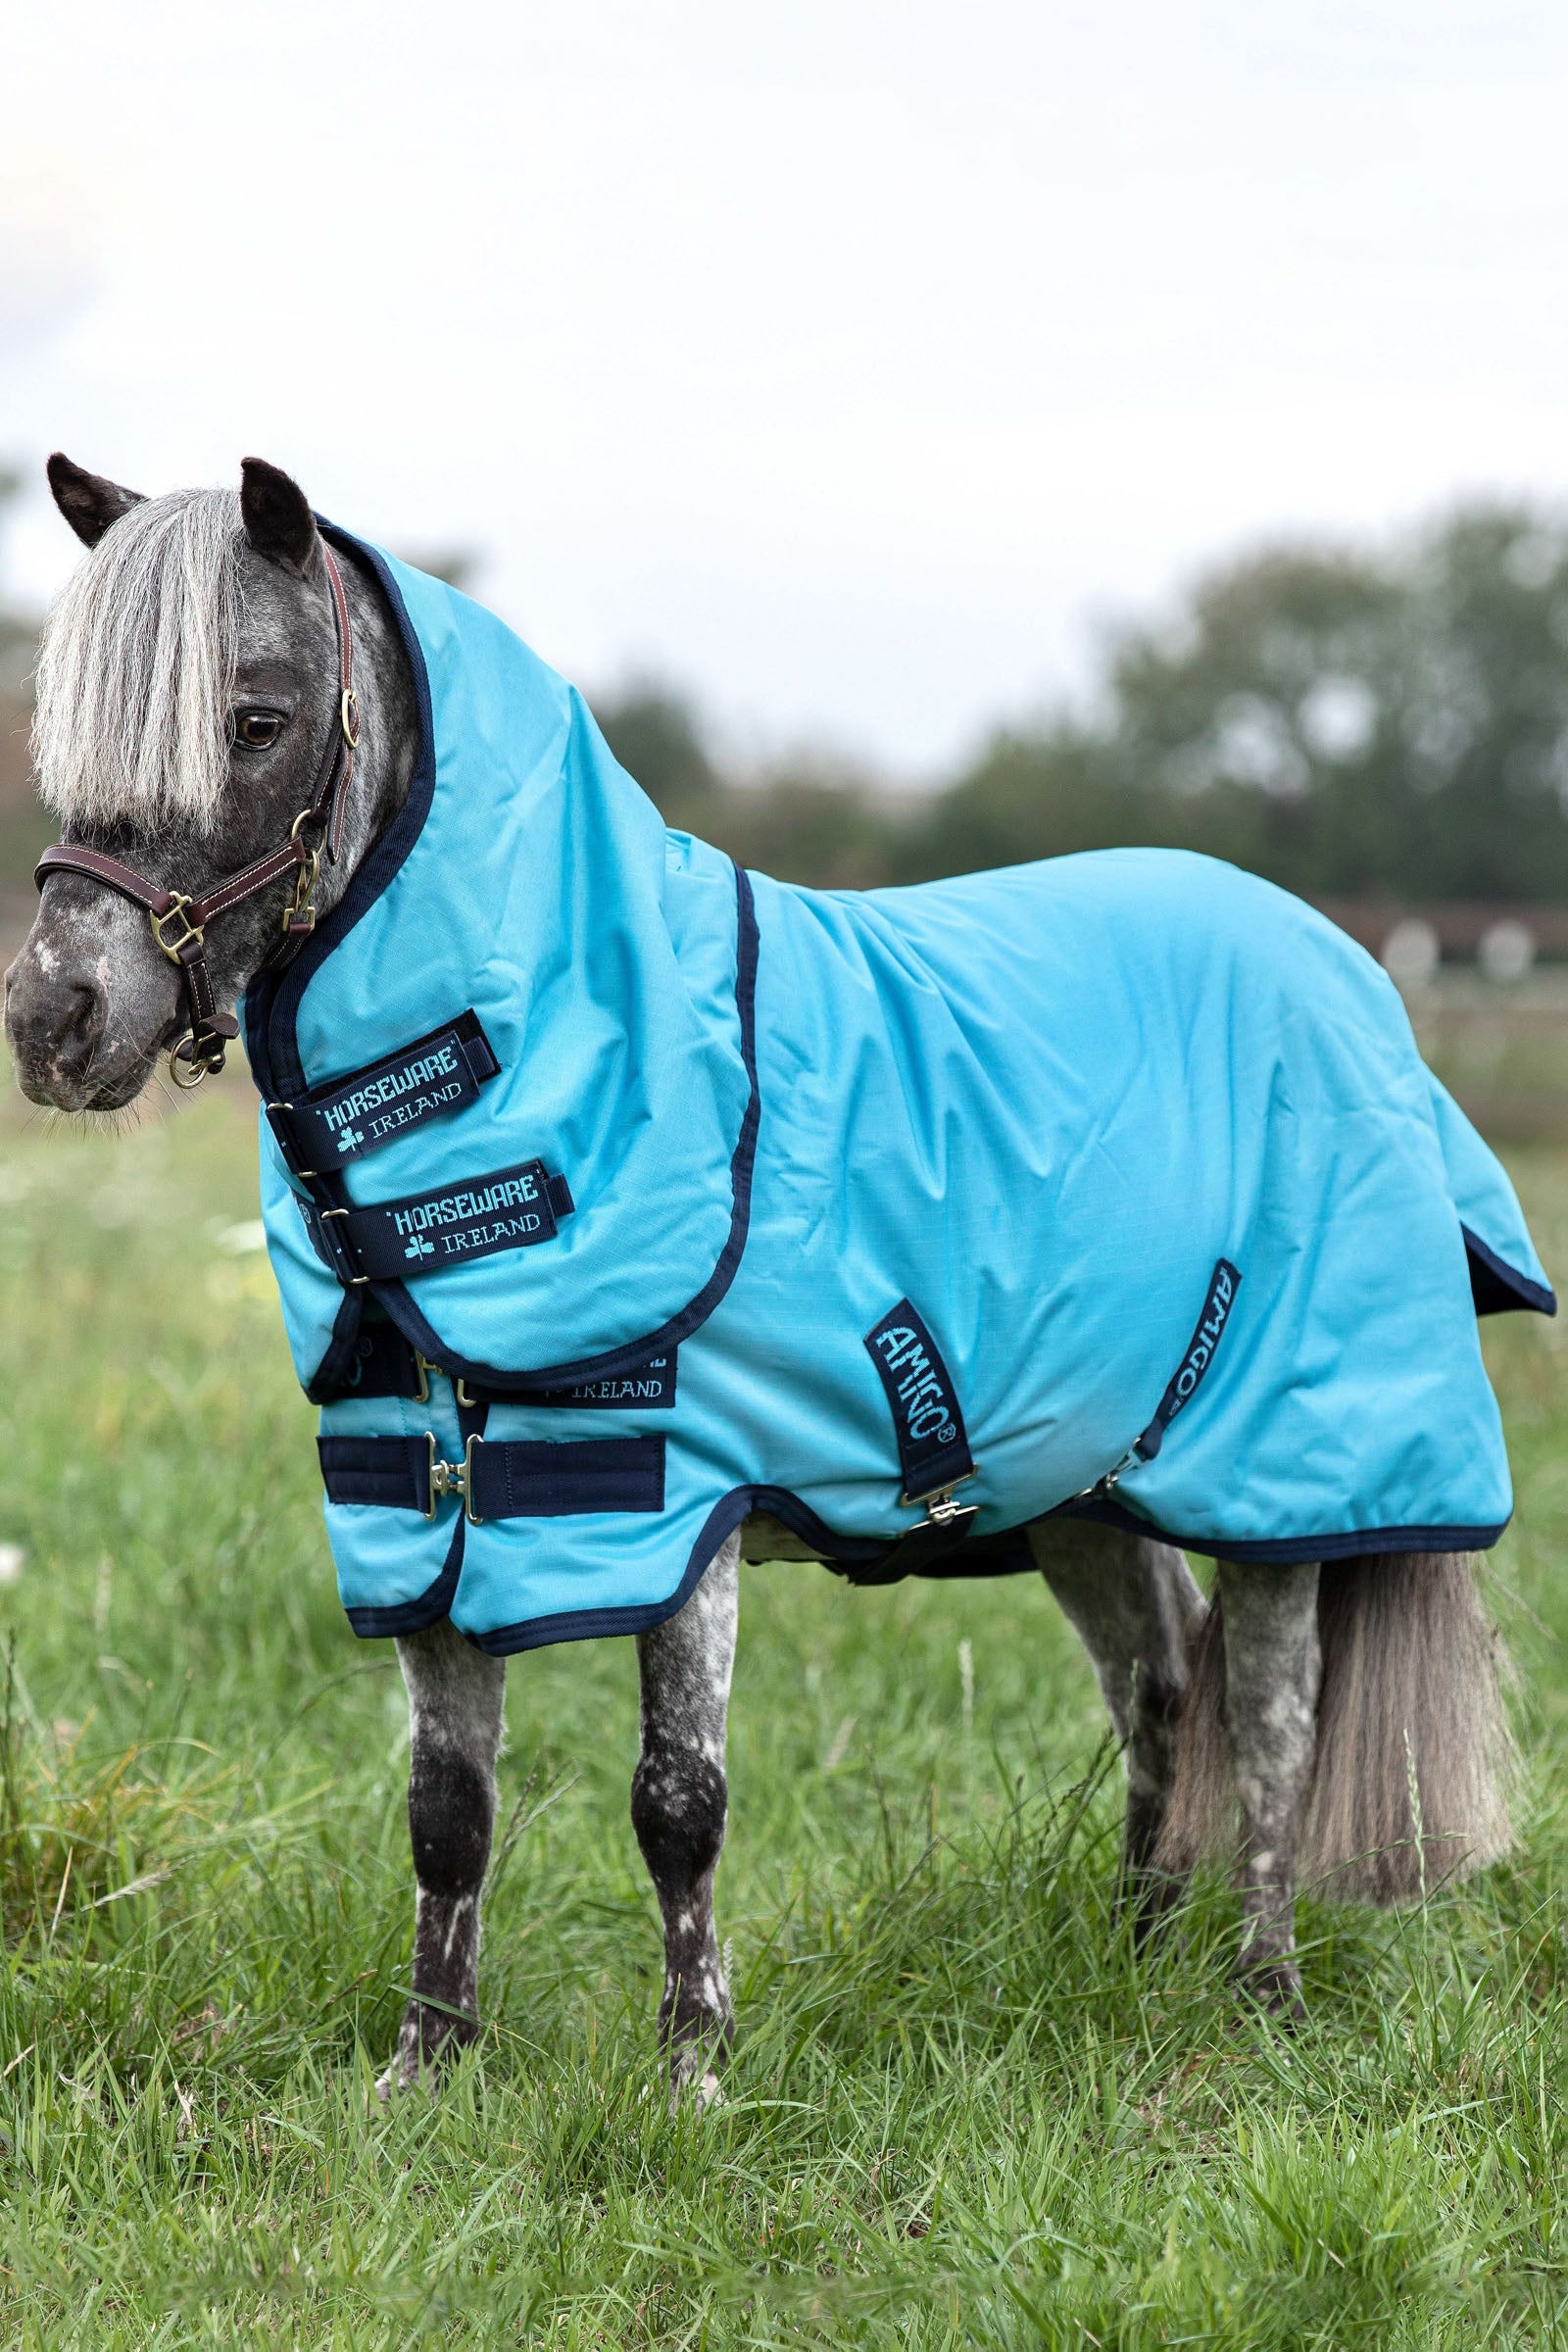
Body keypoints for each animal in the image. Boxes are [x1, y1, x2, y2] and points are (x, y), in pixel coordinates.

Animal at [4, 455, 1527, 2105]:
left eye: (258, 719)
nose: (52, 1019)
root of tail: (1348, 972)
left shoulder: (676, 1505)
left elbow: (678, 1802)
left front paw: (694, 2078)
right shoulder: (419, 1512)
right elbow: (445, 1811)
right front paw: (423, 2073)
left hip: (1287, 1480)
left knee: (1271, 1715)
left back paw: (1262, 1997)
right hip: (1083, 1485)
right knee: (1163, 1690)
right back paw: (1133, 1960)